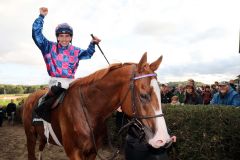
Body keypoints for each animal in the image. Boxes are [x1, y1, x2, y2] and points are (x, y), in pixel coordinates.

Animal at [22, 52, 173, 159]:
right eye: (143, 95)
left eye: (161, 94)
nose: (163, 139)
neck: (88, 111)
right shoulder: (74, 152)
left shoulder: (92, 152)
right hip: (30, 136)